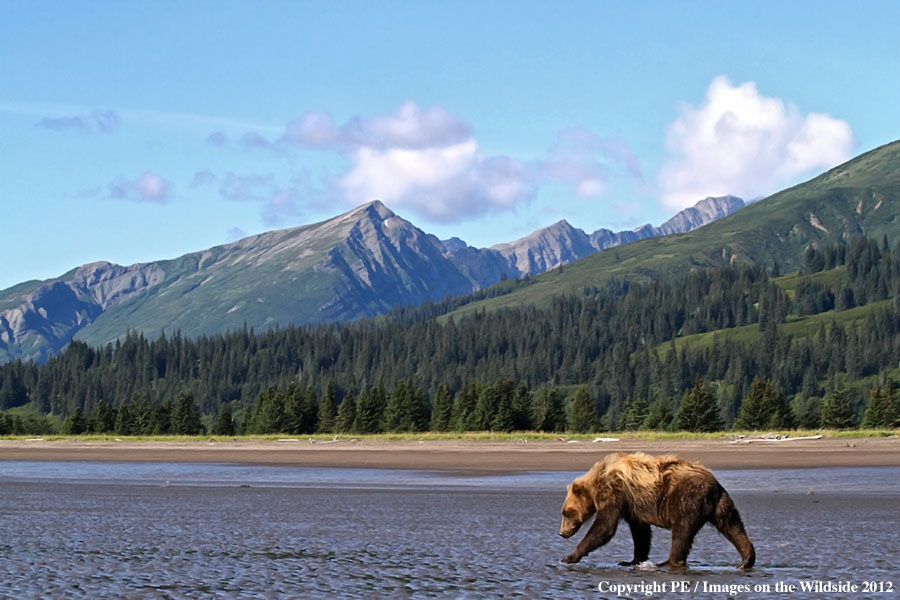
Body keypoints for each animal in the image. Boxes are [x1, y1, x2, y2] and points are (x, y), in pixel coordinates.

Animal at [558, 452, 755, 570]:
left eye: (566, 513)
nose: (562, 533)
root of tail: (713, 483)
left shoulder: (614, 492)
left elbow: (604, 527)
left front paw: (569, 557)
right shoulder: (632, 505)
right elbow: (641, 533)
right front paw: (631, 560)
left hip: (686, 498)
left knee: (682, 531)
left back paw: (668, 562)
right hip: (720, 503)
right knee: (732, 525)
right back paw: (746, 559)